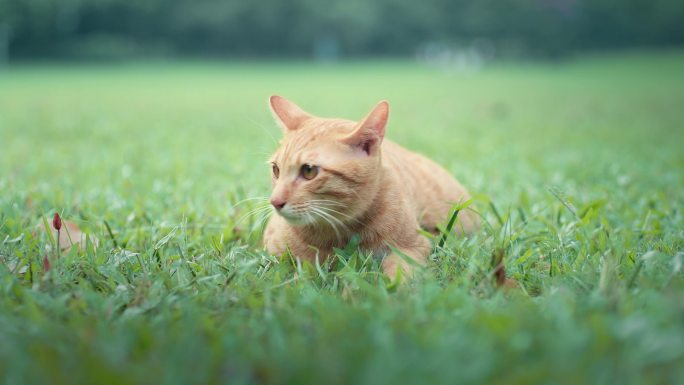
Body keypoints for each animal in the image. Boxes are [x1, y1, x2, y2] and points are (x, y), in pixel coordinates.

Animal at [264, 95, 478, 278]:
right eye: (276, 169)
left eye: (309, 171)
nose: (275, 202)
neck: (340, 230)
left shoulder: (413, 247)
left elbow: (399, 274)